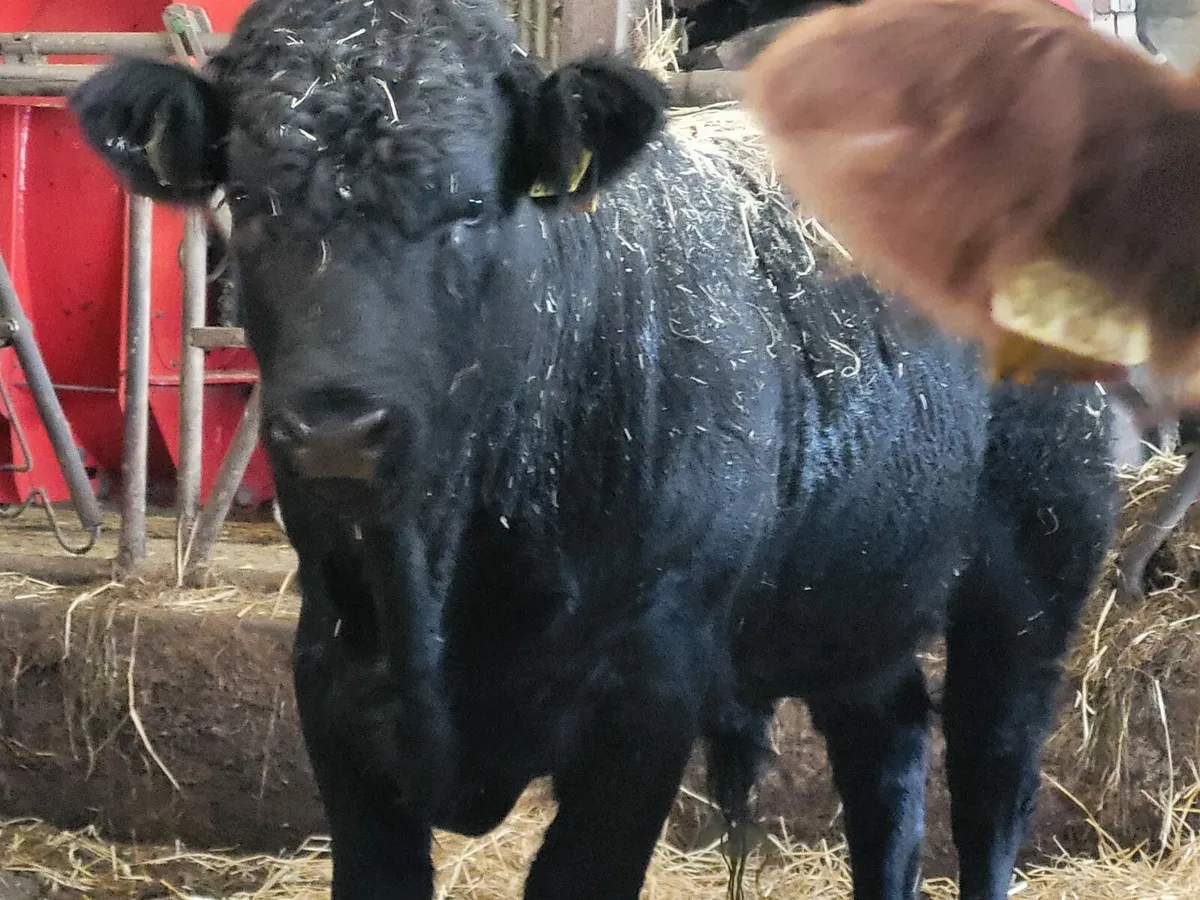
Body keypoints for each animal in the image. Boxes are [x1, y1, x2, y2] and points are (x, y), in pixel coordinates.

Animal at [69, 1, 1120, 898]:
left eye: (471, 206)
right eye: (248, 199)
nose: (334, 427)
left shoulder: (641, 701)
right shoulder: (333, 684)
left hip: (1033, 570)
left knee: (991, 780)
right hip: (853, 593)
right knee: (888, 751)